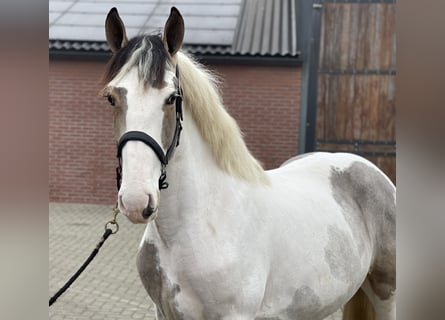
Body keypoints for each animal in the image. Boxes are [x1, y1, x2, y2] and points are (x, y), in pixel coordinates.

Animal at [101, 5, 396, 320]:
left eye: (171, 98)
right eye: (111, 98)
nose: (135, 200)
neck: (200, 226)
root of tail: (369, 169)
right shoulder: (162, 311)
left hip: (386, 293)